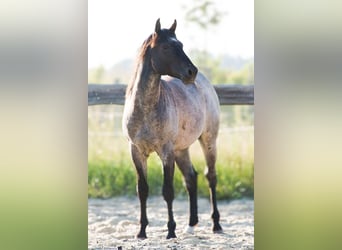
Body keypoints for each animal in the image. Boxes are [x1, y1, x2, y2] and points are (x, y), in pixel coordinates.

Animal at [121, 18, 223, 239]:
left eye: (181, 45)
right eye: (166, 47)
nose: (192, 72)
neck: (146, 108)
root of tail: (205, 84)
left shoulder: (165, 152)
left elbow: (168, 191)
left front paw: (170, 231)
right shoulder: (136, 152)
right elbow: (142, 189)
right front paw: (142, 231)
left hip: (208, 141)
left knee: (210, 177)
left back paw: (216, 225)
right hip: (181, 149)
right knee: (191, 177)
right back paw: (191, 224)